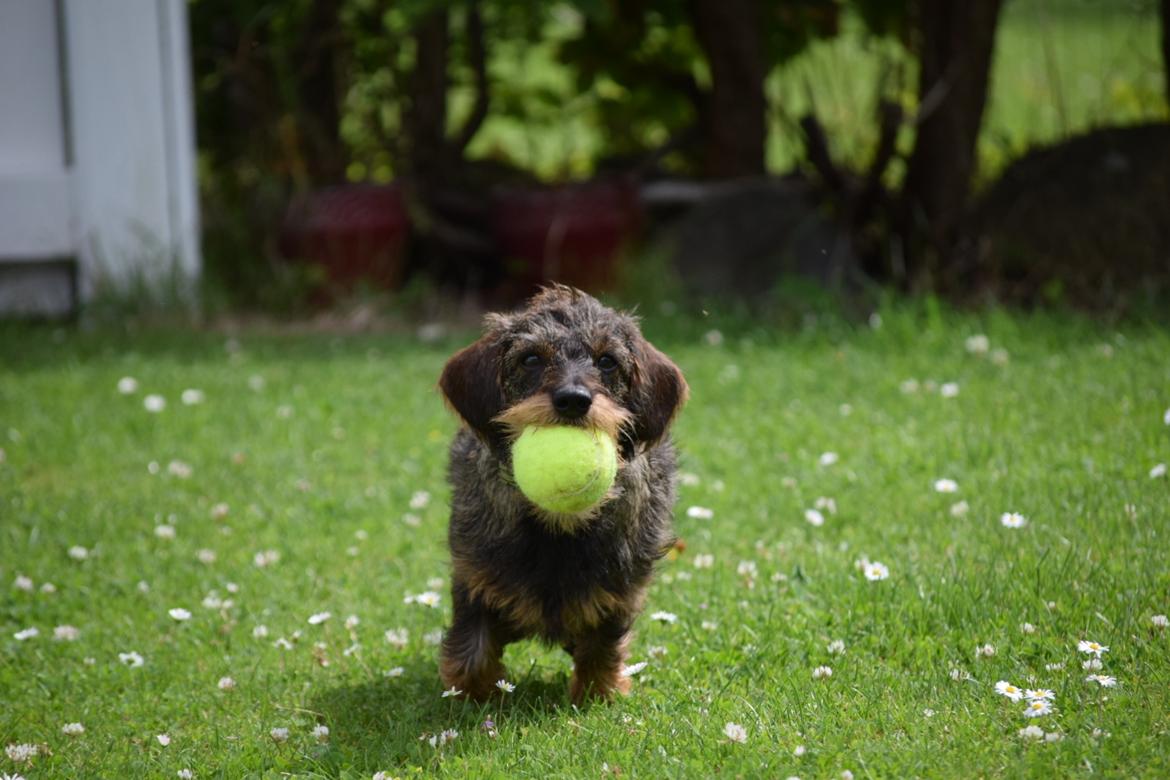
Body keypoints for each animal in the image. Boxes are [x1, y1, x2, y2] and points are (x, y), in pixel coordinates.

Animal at [442, 285, 687, 701]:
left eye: (607, 361)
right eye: (530, 358)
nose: (573, 399)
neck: (559, 525)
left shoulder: (618, 593)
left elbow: (602, 647)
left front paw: (597, 693)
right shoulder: (474, 578)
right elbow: (472, 650)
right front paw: (476, 695)